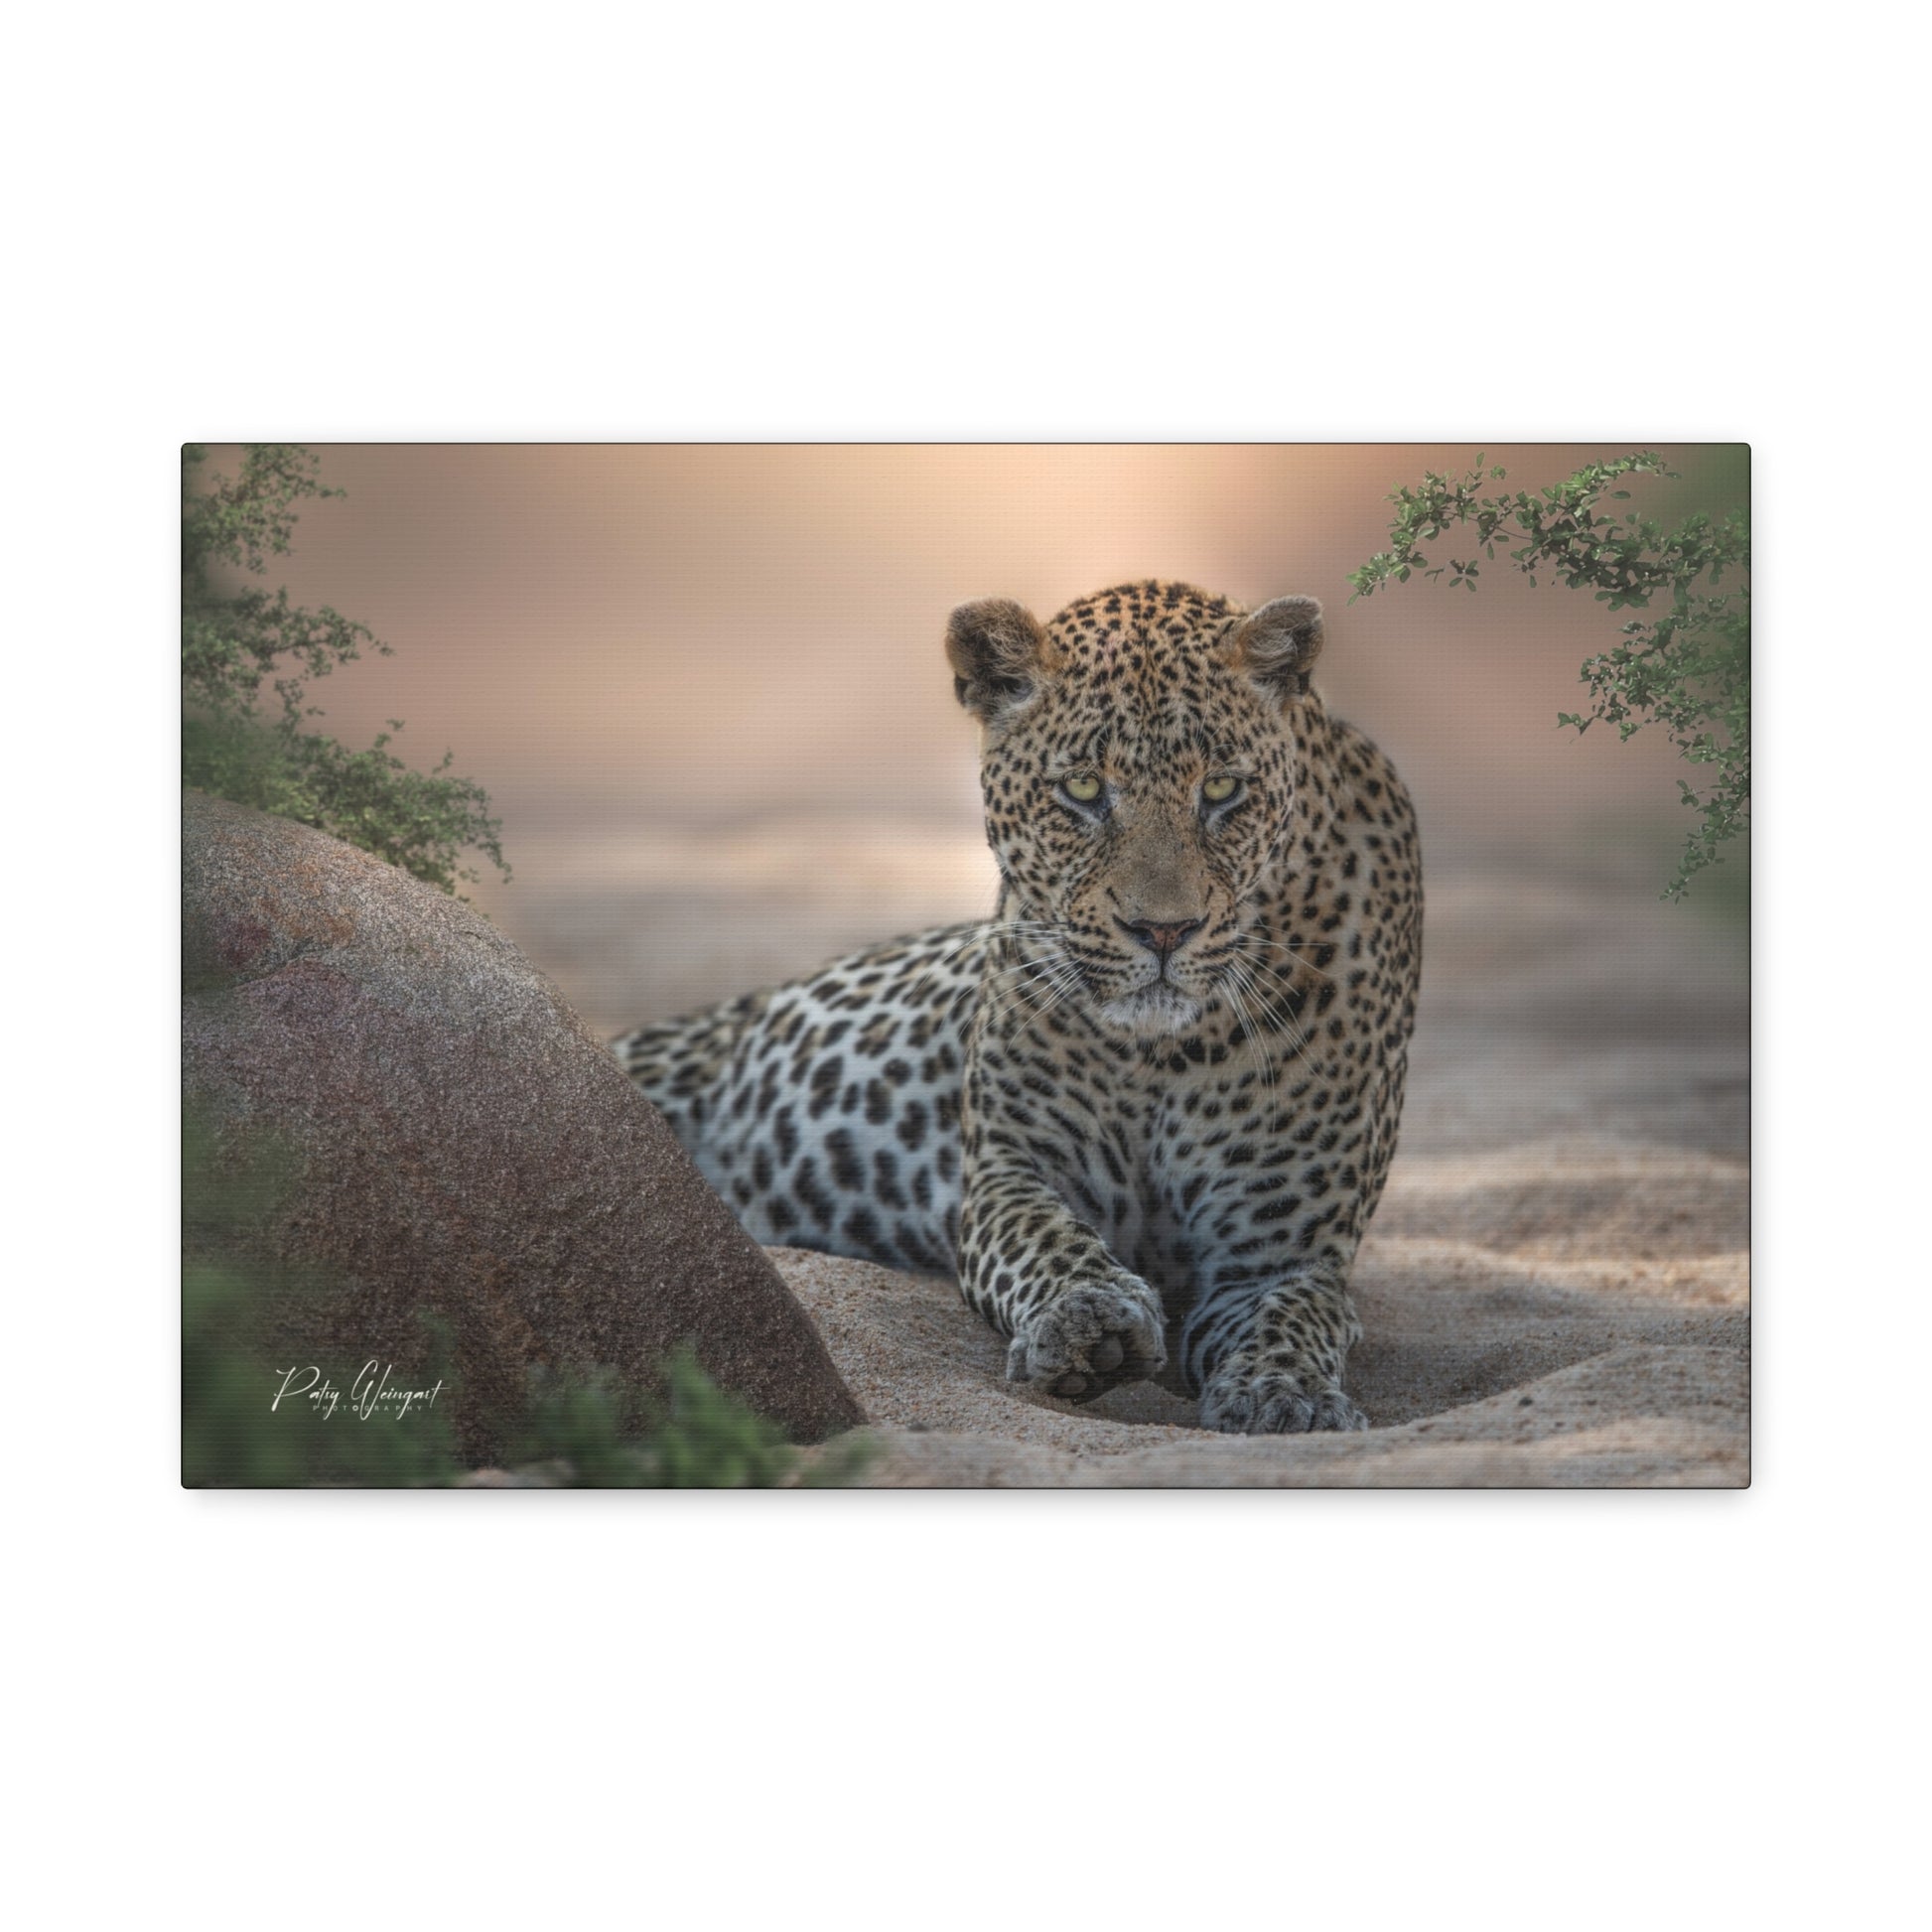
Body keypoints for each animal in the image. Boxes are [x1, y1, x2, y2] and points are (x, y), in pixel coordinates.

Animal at [614, 579, 1421, 1432]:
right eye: (1084, 790)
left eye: (1224, 790)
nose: (1164, 930)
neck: (1162, 1053)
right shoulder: (1010, 1172)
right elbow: (1044, 1242)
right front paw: (1089, 1318)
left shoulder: (1281, 1255)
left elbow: (1293, 1317)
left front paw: (1286, 1395)